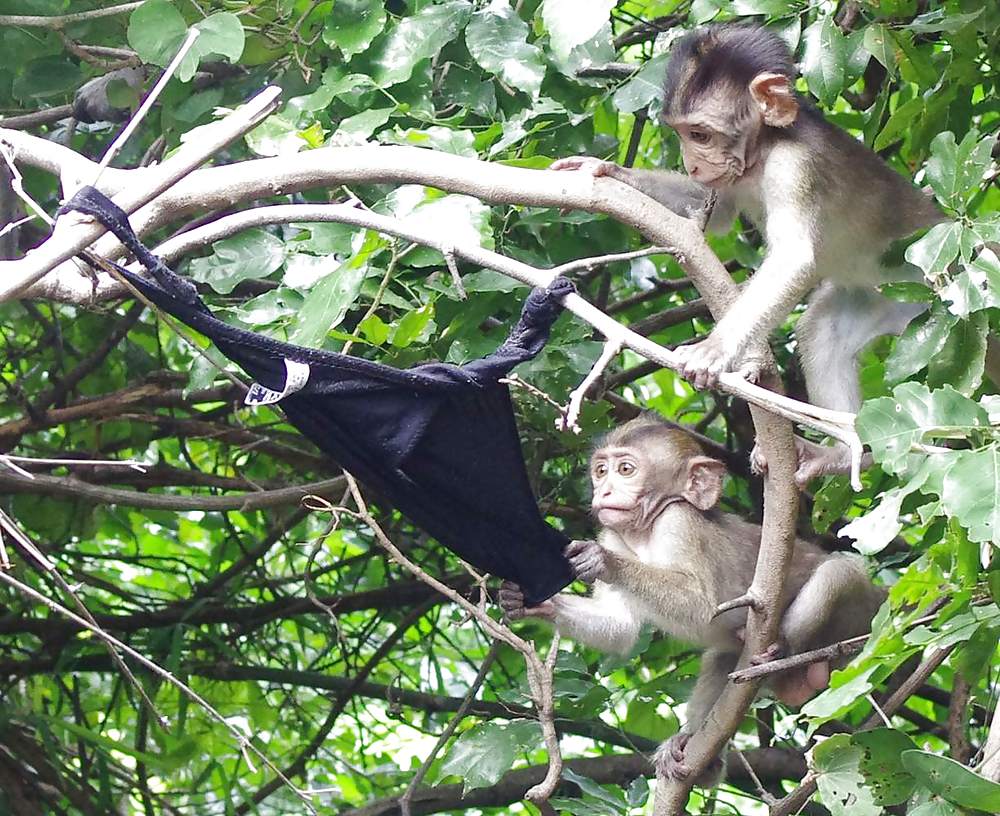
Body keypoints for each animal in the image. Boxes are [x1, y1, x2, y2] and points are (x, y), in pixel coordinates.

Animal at [499, 415, 885, 784]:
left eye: (626, 469)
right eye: (601, 470)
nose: (604, 490)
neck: (644, 532)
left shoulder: (678, 522)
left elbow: (702, 606)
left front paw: (603, 561)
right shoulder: (612, 532)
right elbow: (621, 628)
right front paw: (524, 600)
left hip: (857, 616)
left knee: (838, 572)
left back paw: (782, 648)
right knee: (721, 659)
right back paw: (701, 755)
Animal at [551, 24, 946, 486]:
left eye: (700, 135)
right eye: (682, 134)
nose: (692, 163)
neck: (766, 148)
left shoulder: (795, 167)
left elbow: (793, 256)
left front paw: (715, 349)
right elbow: (714, 211)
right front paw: (603, 170)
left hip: (931, 297)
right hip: (880, 300)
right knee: (821, 332)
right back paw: (845, 454)